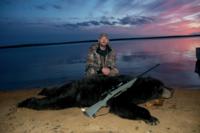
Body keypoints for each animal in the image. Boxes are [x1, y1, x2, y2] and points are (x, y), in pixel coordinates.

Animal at [17, 75, 173, 125]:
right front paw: (151, 118)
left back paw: (42, 90)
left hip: (68, 88)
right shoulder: (121, 96)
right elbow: (121, 107)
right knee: (51, 102)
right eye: (161, 86)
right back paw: (24, 102)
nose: (172, 90)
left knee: (54, 91)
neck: (137, 87)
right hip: (71, 94)